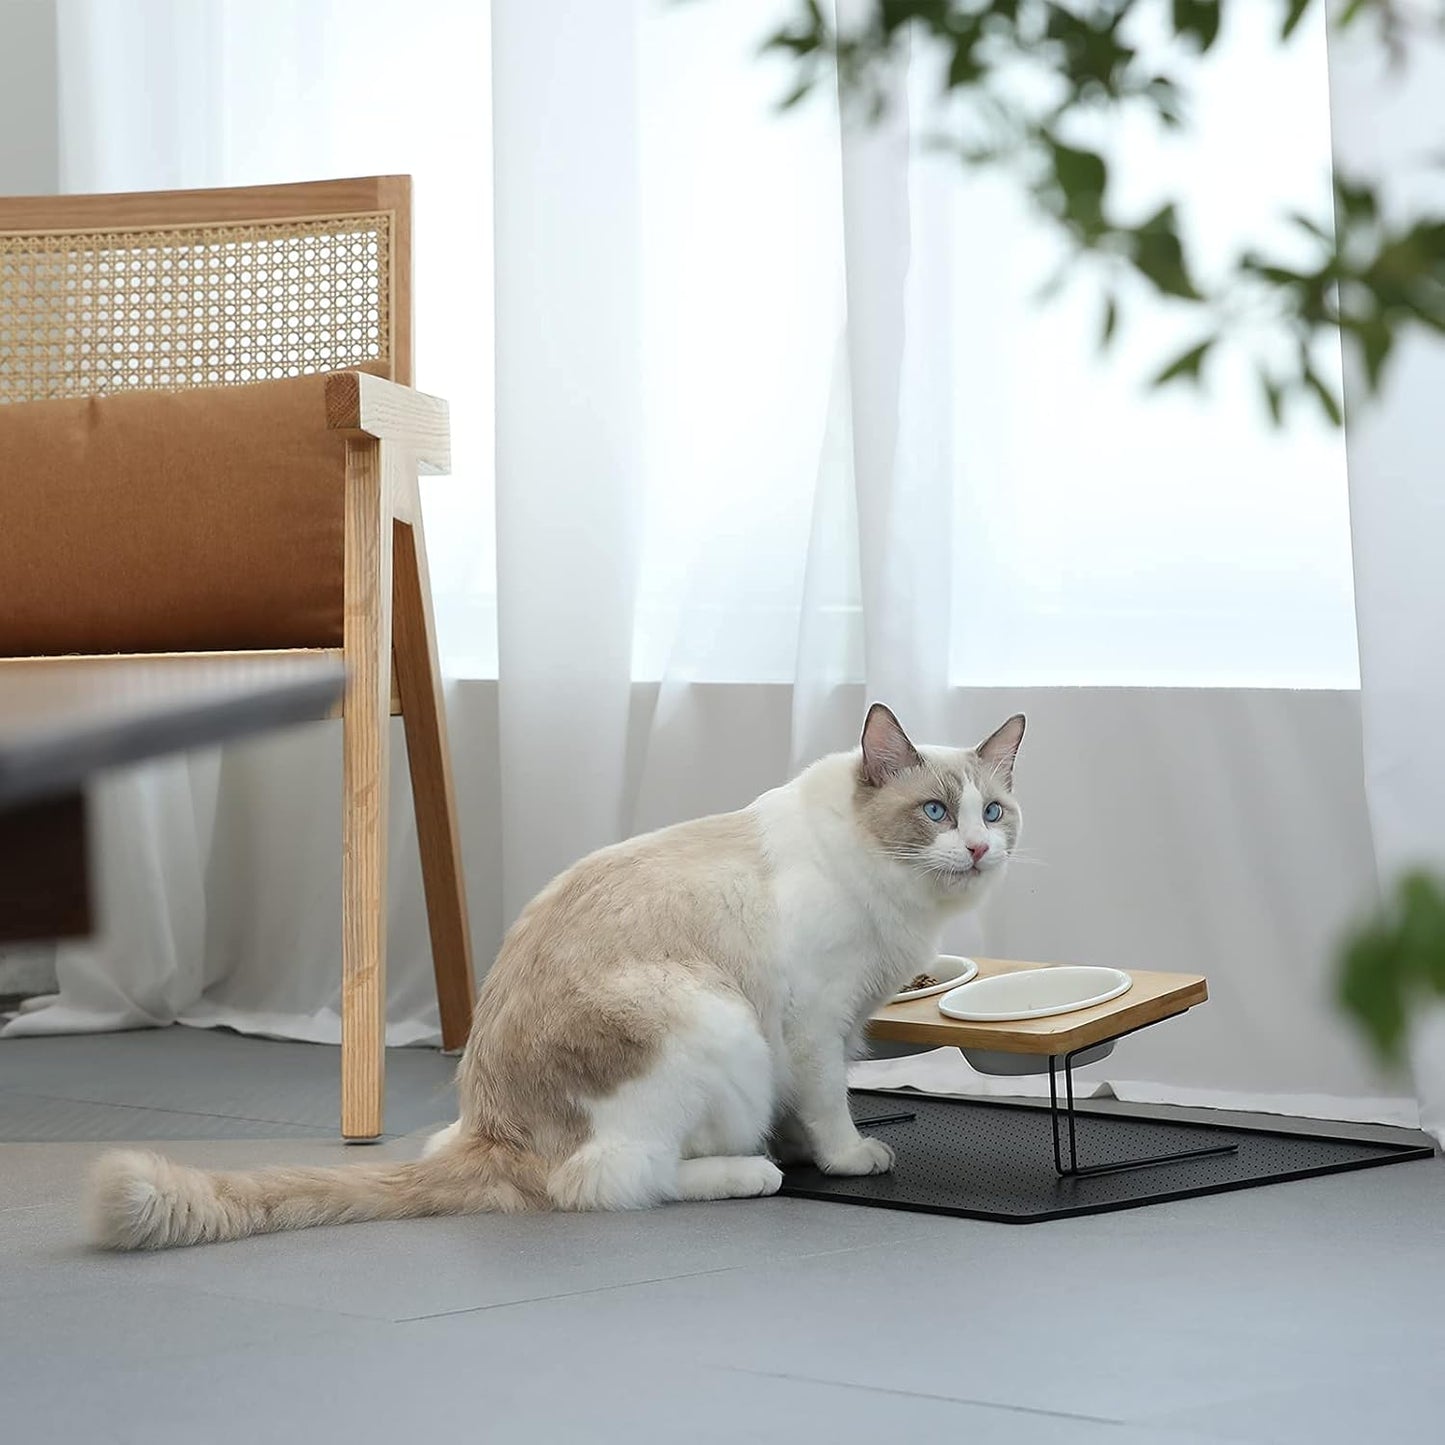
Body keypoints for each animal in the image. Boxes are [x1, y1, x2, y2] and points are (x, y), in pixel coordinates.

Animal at [90, 705, 1023, 1248]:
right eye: (933, 813)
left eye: (992, 811)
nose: (981, 849)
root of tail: (484, 1128)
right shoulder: (812, 1026)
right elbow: (830, 1109)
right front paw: (847, 1158)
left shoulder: (820, 1033)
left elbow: (805, 1111)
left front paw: (805, 1147)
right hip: (713, 1020)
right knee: (612, 1182)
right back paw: (748, 1170)